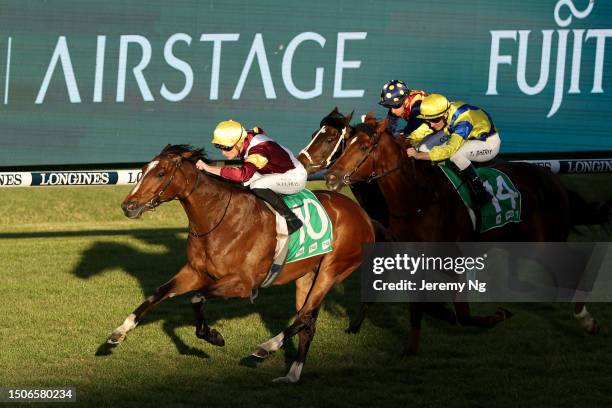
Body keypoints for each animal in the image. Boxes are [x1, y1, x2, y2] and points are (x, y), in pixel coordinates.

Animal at [112, 144, 376, 382]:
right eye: (143, 169)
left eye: (160, 173)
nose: (128, 206)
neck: (218, 219)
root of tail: (362, 215)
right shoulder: (195, 272)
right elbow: (157, 294)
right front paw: (119, 331)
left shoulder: (243, 284)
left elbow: (197, 298)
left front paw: (212, 335)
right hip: (307, 274)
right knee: (308, 322)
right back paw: (292, 374)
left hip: (332, 270)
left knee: (305, 316)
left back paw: (266, 348)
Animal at [328, 114, 600, 354]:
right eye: (344, 145)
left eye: (364, 147)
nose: (331, 176)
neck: (420, 199)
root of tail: (552, 178)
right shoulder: (412, 257)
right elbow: (420, 305)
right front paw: (411, 347)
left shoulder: (455, 261)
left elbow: (463, 315)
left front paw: (497, 315)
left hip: (546, 241)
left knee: (577, 261)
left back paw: (586, 318)